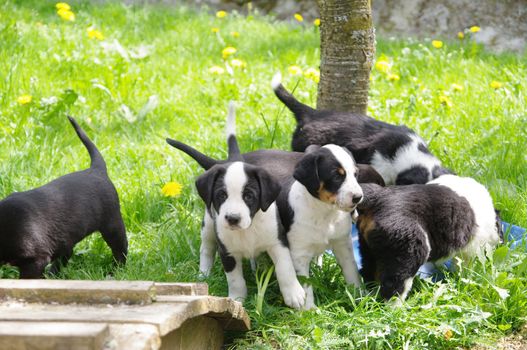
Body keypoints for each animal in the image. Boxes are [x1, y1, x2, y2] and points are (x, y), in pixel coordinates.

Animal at [0, 116, 128, 278]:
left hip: (112, 223)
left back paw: (115, 271)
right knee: (67, 252)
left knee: (120, 249)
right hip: (66, 236)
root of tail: (96, 169)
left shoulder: (35, 259)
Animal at [167, 102, 308, 308]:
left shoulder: (278, 242)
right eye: (221, 195)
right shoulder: (227, 252)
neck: (247, 230)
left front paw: (294, 294)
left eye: (249, 196)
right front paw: (236, 300)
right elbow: (235, 279)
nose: (232, 218)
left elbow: (285, 269)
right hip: (208, 225)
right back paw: (204, 274)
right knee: (206, 249)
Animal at [276, 144, 368, 308]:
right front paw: (308, 310)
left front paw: (359, 297)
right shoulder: (299, 254)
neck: (325, 213)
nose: (358, 197)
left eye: (355, 174)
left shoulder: (343, 244)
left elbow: (352, 272)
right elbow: (306, 285)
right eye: (337, 176)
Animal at [356, 175, 502, 304]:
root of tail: (378, 198)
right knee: (394, 286)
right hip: (408, 251)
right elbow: (465, 267)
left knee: (368, 271)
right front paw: (465, 278)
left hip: (368, 248)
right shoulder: (471, 249)